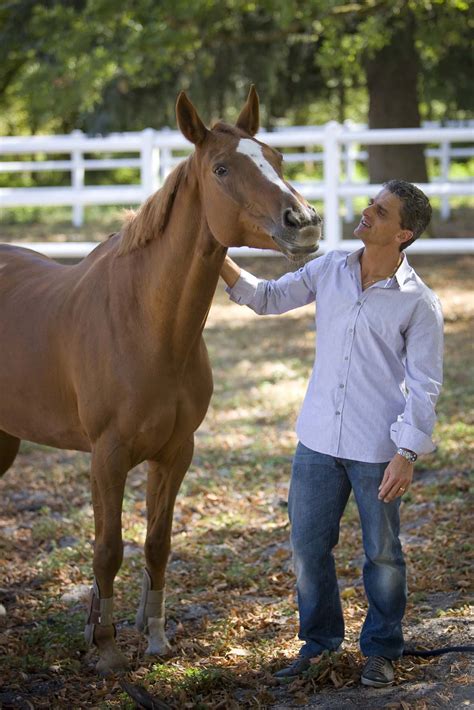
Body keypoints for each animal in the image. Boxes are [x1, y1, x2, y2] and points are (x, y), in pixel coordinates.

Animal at [0, 86, 322, 676]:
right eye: (222, 168)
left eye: (278, 158)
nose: (304, 222)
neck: (147, 325)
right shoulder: (107, 457)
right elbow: (108, 548)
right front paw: (105, 648)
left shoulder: (175, 452)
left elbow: (157, 544)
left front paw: (153, 638)